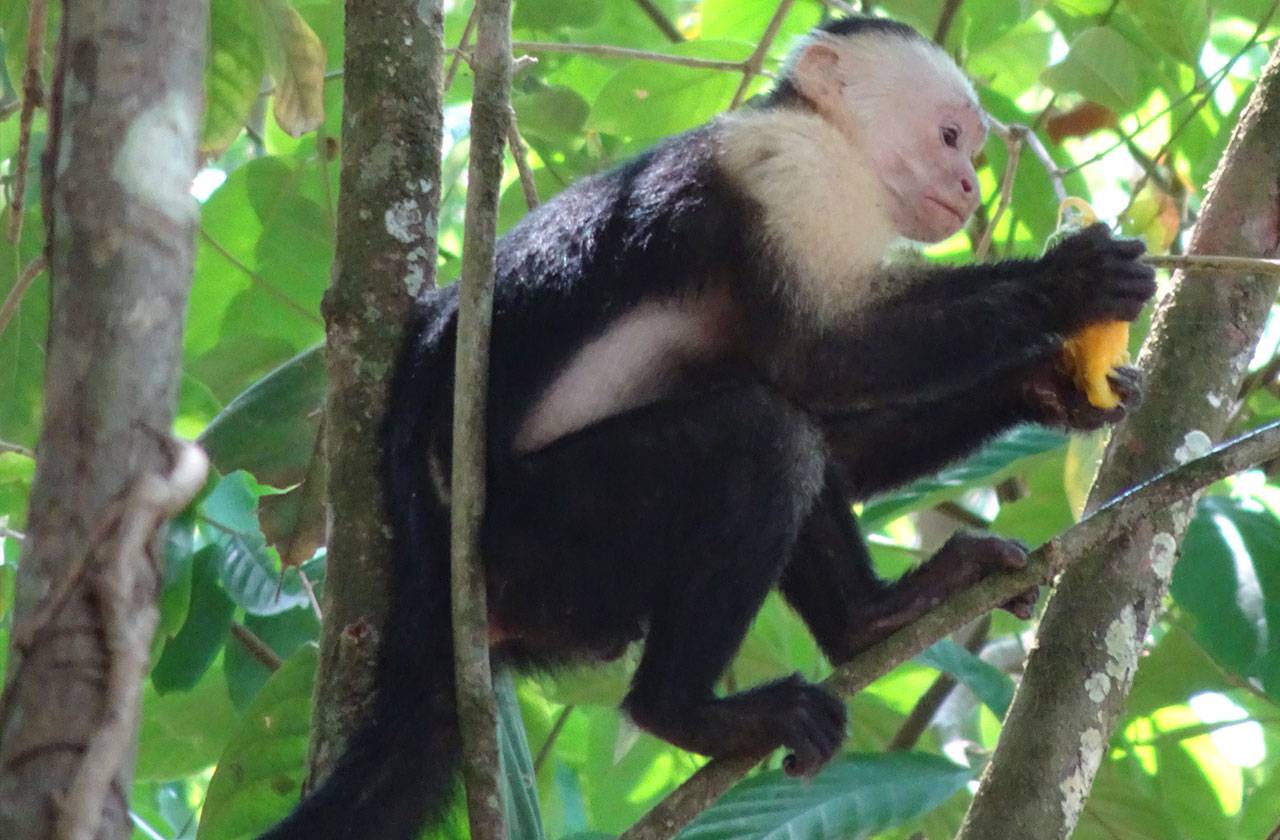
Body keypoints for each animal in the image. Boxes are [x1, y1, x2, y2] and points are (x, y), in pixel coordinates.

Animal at [264, 14, 1157, 840]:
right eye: (948, 137)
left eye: (969, 149)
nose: (971, 186)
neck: (831, 141)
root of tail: (433, 581)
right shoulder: (794, 176)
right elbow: (824, 359)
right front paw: (1067, 284)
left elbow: (835, 429)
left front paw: (1047, 387)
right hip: (540, 544)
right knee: (763, 435)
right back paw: (683, 710)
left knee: (790, 437)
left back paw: (873, 619)